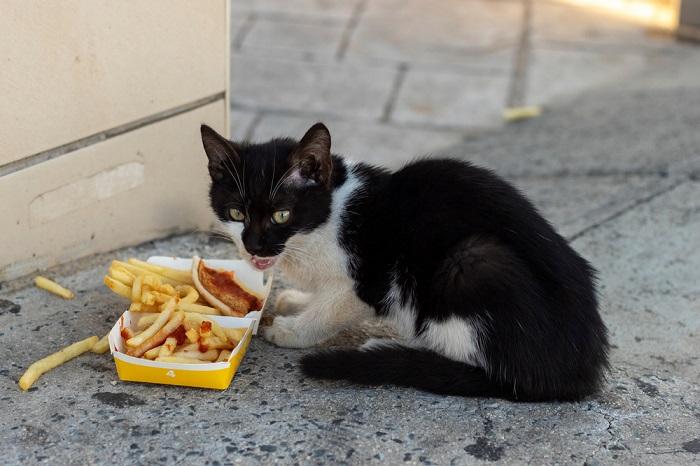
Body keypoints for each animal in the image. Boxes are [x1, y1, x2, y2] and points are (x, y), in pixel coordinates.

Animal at [201, 123, 608, 400]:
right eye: (236, 213)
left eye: (281, 215)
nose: (255, 247)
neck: (330, 215)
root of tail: (577, 371)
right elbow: (323, 294)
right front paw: (296, 301)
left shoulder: (373, 278)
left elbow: (332, 309)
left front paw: (291, 330)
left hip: (473, 263)